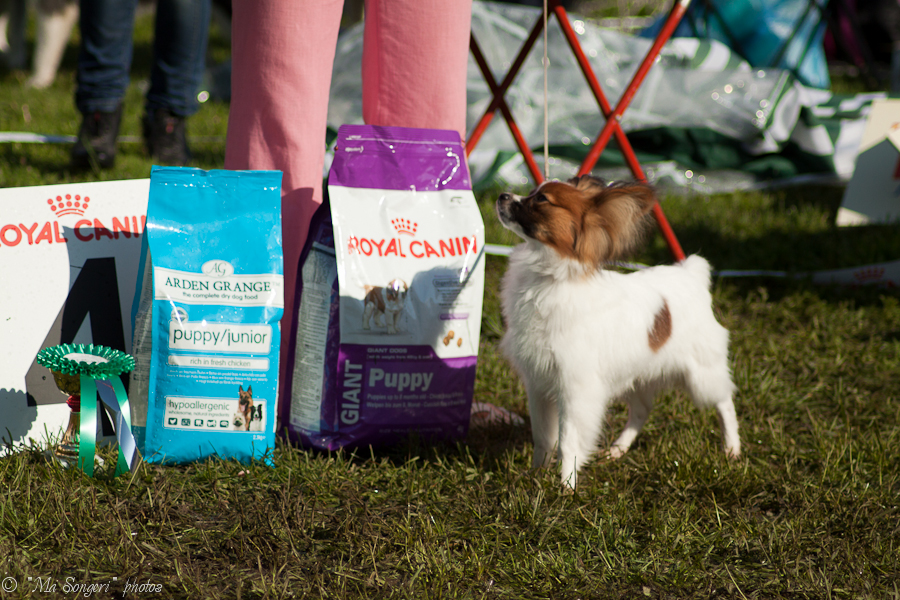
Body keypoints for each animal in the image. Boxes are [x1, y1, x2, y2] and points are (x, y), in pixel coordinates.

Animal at [496, 175, 740, 489]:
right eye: (530, 192)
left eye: (541, 200)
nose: (502, 196)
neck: (548, 278)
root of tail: (691, 274)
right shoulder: (538, 383)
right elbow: (543, 439)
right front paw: (535, 475)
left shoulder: (575, 388)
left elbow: (568, 441)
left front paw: (566, 486)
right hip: (635, 377)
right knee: (641, 412)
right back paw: (618, 449)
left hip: (701, 374)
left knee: (724, 402)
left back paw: (732, 448)